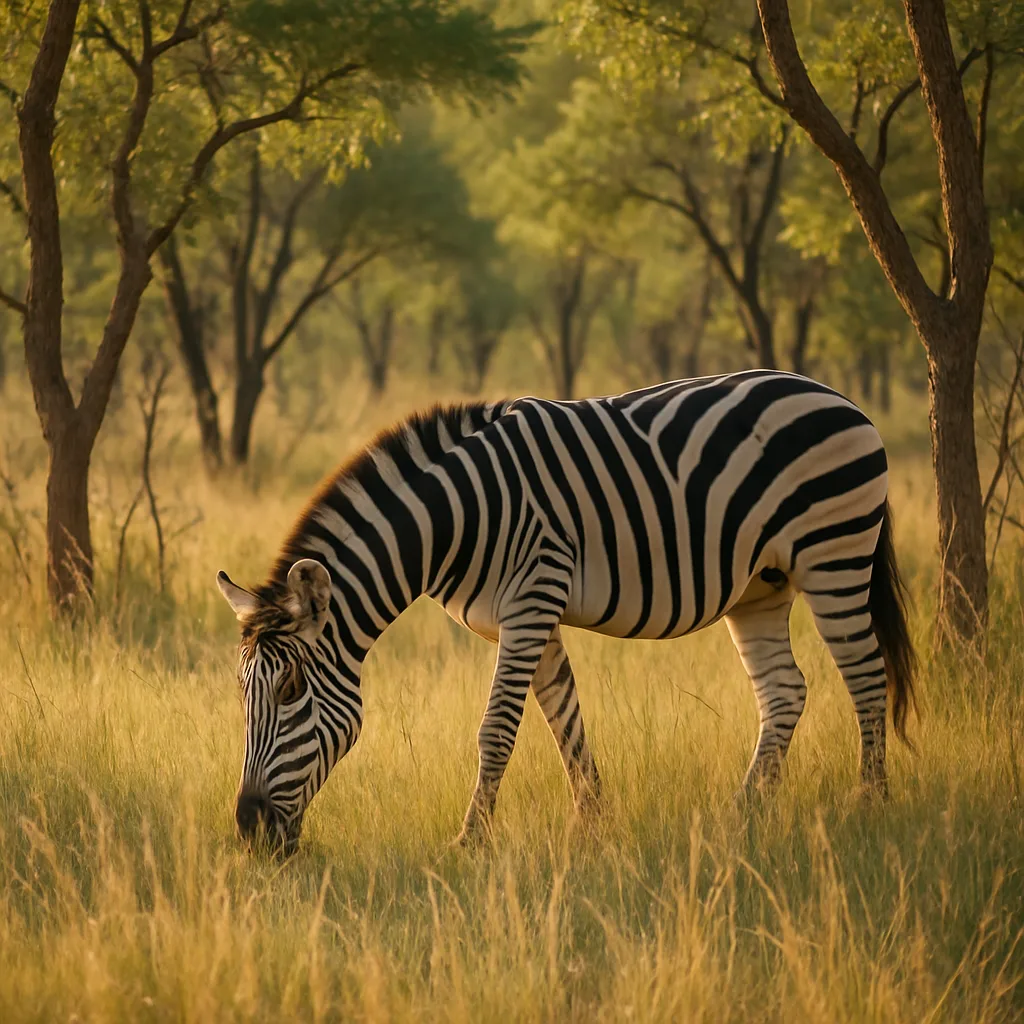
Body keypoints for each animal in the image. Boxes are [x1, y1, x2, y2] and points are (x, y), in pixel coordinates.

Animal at [216, 370, 915, 854]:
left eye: (290, 688)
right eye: (241, 693)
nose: (249, 831)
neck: (458, 516)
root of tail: (840, 398)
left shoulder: (531, 599)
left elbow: (497, 730)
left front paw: (470, 841)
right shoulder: (532, 614)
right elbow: (565, 722)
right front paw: (592, 828)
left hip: (834, 555)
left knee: (866, 677)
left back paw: (870, 803)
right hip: (761, 587)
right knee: (785, 691)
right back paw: (743, 813)